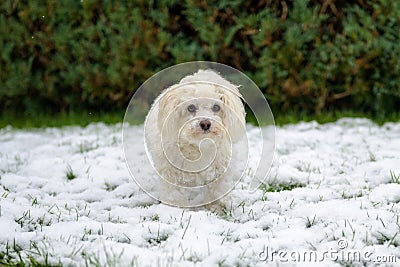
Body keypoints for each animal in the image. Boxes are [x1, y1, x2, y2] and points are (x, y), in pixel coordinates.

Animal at [145, 69, 247, 209]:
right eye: (191, 107)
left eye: (216, 107)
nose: (205, 123)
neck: (199, 147)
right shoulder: (170, 173)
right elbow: (174, 195)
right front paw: (175, 209)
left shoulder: (218, 172)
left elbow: (216, 192)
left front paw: (216, 208)